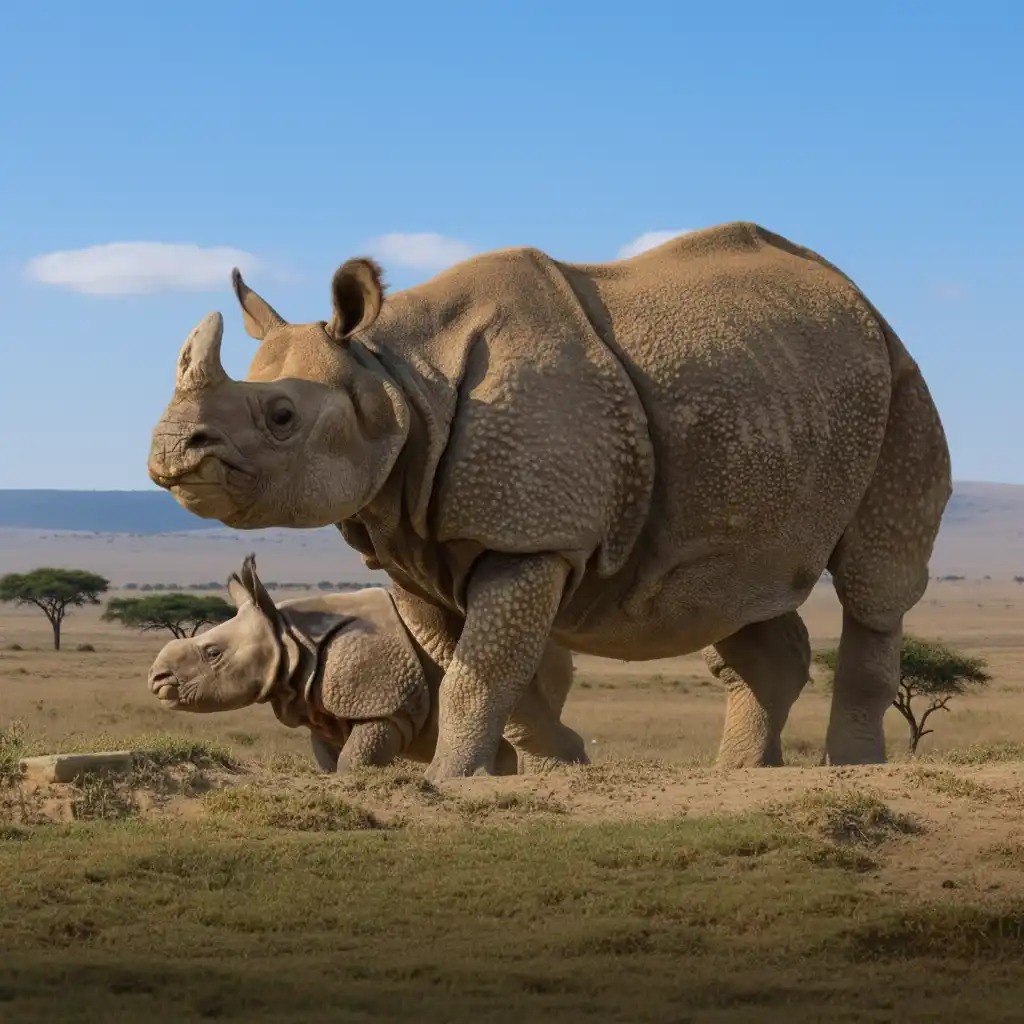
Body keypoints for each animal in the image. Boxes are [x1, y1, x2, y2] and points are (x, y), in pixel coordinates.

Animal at [146, 554, 586, 775]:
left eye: (213, 653)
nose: (157, 680)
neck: (290, 637)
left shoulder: (385, 706)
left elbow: (354, 762)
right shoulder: (318, 707)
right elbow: (329, 762)